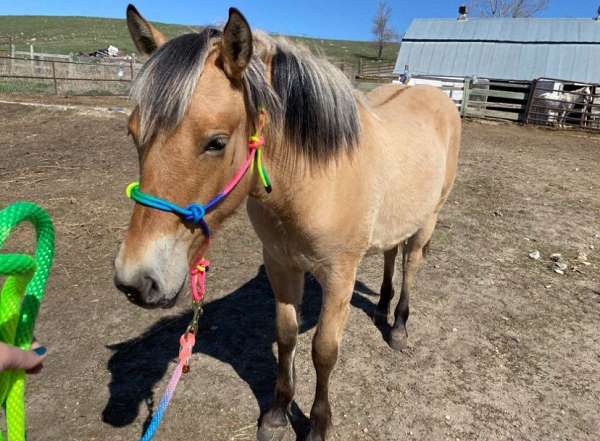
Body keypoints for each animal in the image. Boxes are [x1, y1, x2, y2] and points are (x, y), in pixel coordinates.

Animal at [115, 4, 462, 440]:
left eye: (216, 142)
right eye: (133, 133)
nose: (136, 280)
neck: (313, 179)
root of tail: (435, 94)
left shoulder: (339, 277)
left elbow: (324, 351)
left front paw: (318, 424)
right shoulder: (281, 265)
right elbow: (286, 337)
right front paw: (278, 412)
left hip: (428, 221)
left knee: (410, 265)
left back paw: (398, 327)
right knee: (389, 255)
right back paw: (382, 306)